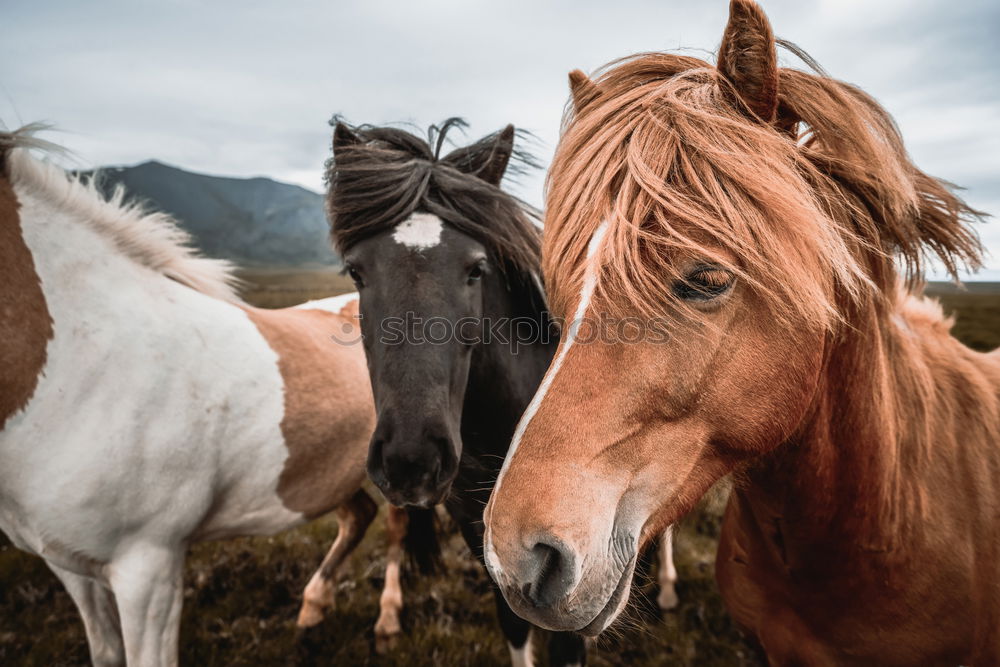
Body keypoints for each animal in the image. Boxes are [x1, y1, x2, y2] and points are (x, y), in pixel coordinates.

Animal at [2, 128, 434, 664]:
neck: (88, 362)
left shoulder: (148, 568)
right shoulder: (70, 566)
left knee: (393, 526)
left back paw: (388, 620)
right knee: (358, 517)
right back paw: (312, 610)